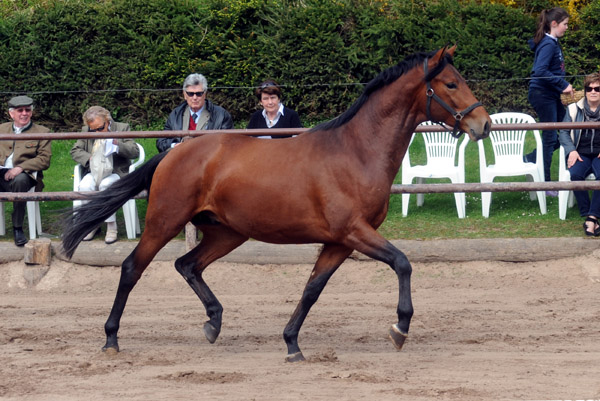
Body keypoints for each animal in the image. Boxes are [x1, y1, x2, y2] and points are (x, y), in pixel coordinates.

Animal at [62, 45, 492, 360]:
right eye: (450, 84)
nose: (483, 124)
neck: (356, 151)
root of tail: (175, 152)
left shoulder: (339, 241)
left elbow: (312, 289)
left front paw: (291, 343)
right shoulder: (354, 231)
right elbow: (402, 263)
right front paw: (399, 328)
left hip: (227, 233)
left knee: (188, 265)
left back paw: (214, 323)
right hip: (164, 222)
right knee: (132, 268)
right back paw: (111, 338)